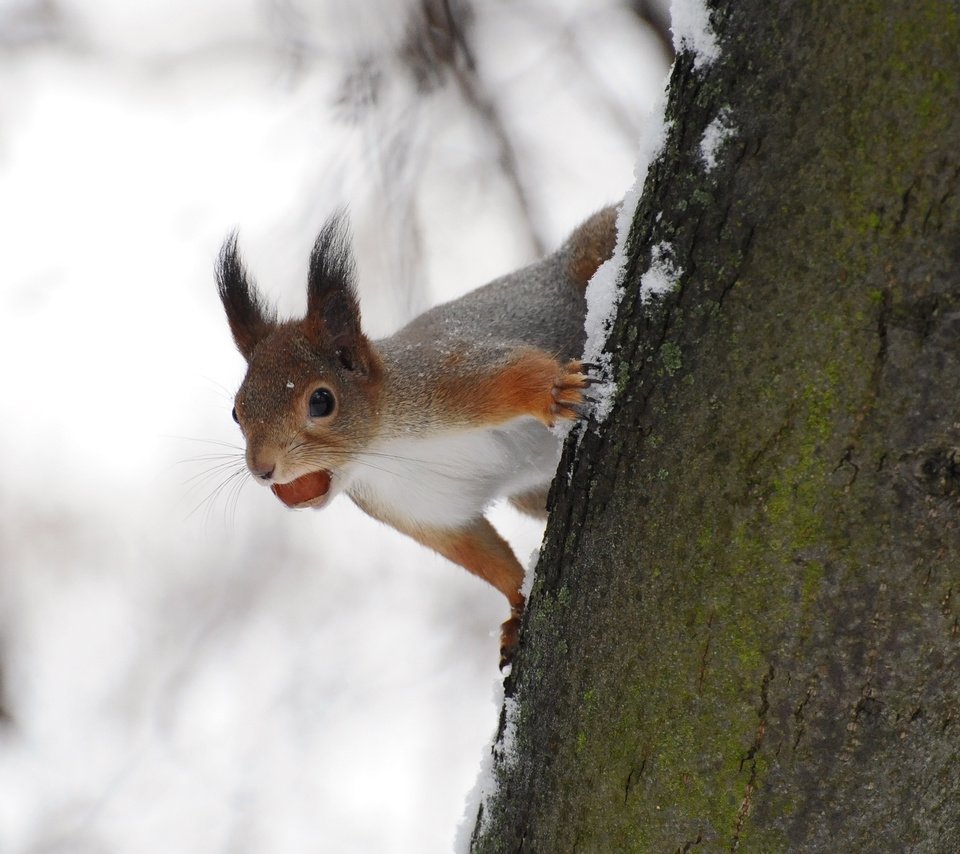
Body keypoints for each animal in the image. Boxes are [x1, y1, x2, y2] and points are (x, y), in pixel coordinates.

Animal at [218, 207, 620, 668]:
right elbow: (482, 555)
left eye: (321, 401)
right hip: (531, 497)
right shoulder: (420, 509)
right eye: (236, 411)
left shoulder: (445, 376)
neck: (382, 451)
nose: (262, 468)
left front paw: (555, 392)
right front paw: (518, 609)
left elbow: (514, 372)